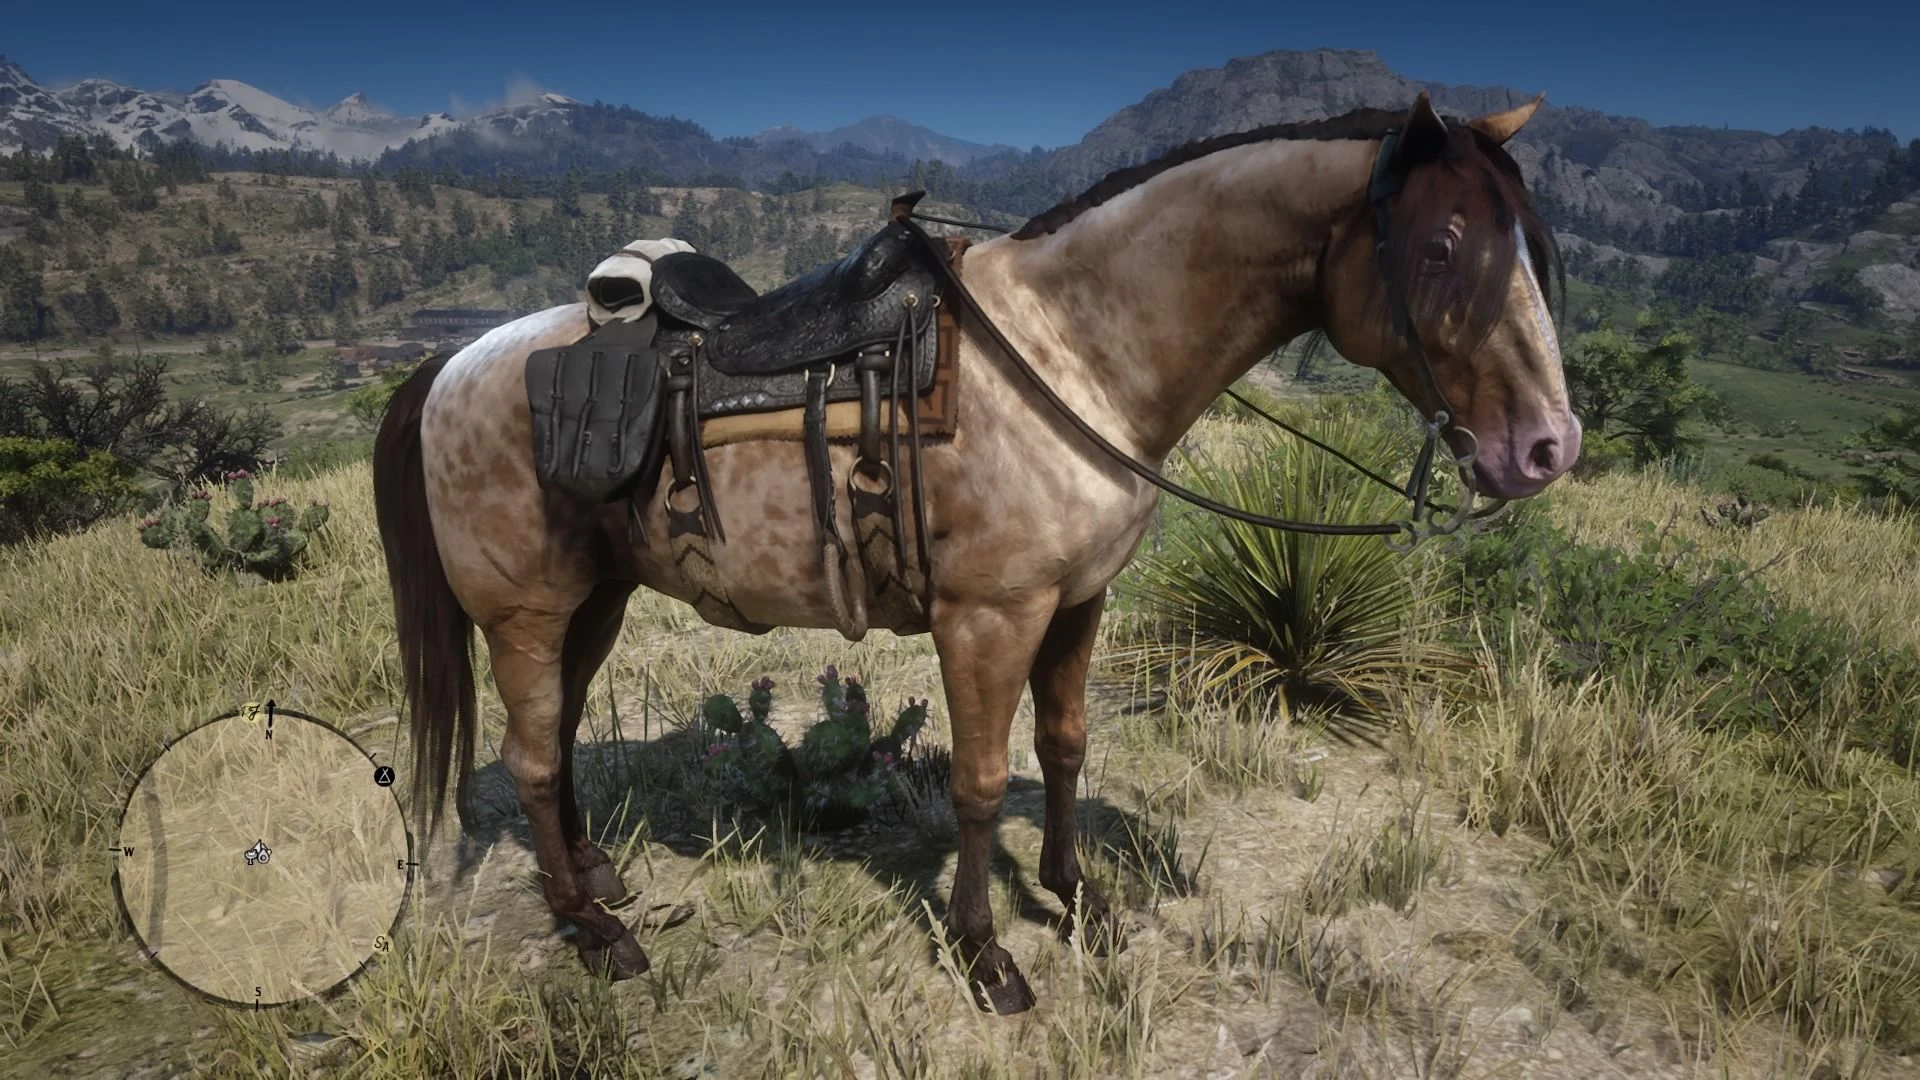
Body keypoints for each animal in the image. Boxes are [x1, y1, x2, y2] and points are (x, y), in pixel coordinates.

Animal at [371, 91, 1578, 1014]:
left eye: (1529, 248)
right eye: (1441, 246)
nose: (1546, 447)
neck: (1070, 351)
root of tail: (449, 363)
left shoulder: (1078, 602)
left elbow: (1067, 746)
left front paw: (1079, 902)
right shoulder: (989, 617)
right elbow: (982, 780)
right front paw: (986, 952)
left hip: (598, 600)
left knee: (561, 737)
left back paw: (598, 877)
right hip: (527, 611)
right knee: (533, 758)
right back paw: (592, 930)